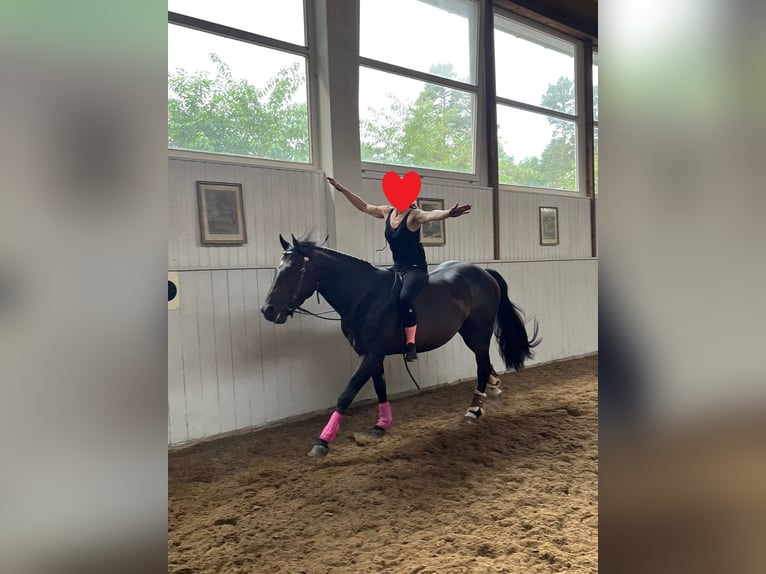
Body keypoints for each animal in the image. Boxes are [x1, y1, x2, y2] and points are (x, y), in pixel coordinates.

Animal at [261, 234, 540, 457]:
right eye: (277, 270)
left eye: (294, 272)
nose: (268, 310)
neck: (364, 296)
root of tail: (483, 273)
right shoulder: (374, 355)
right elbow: (380, 387)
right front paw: (382, 425)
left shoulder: (371, 354)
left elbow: (347, 393)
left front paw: (322, 441)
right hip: (470, 333)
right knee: (486, 363)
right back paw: (492, 388)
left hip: (477, 333)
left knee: (482, 365)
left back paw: (474, 409)